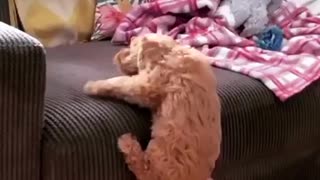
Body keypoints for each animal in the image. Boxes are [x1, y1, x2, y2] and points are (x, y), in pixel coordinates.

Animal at [84, 34, 221, 180]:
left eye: (132, 46)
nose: (117, 55)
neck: (171, 50)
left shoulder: (147, 85)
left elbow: (118, 82)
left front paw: (92, 85)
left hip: (161, 161)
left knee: (142, 169)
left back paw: (126, 142)